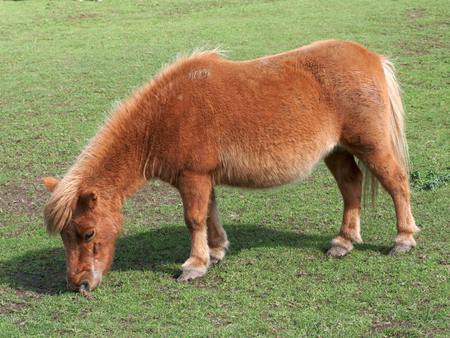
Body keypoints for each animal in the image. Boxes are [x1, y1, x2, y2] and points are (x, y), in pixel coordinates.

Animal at [41, 39, 418, 292]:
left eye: (88, 233)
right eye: (64, 235)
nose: (79, 284)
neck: (164, 117)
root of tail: (372, 58)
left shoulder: (192, 177)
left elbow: (194, 219)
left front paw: (195, 265)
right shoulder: (203, 178)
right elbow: (210, 213)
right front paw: (217, 250)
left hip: (371, 147)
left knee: (397, 182)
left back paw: (403, 239)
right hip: (337, 151)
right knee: (351, 185)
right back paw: (344, 241)